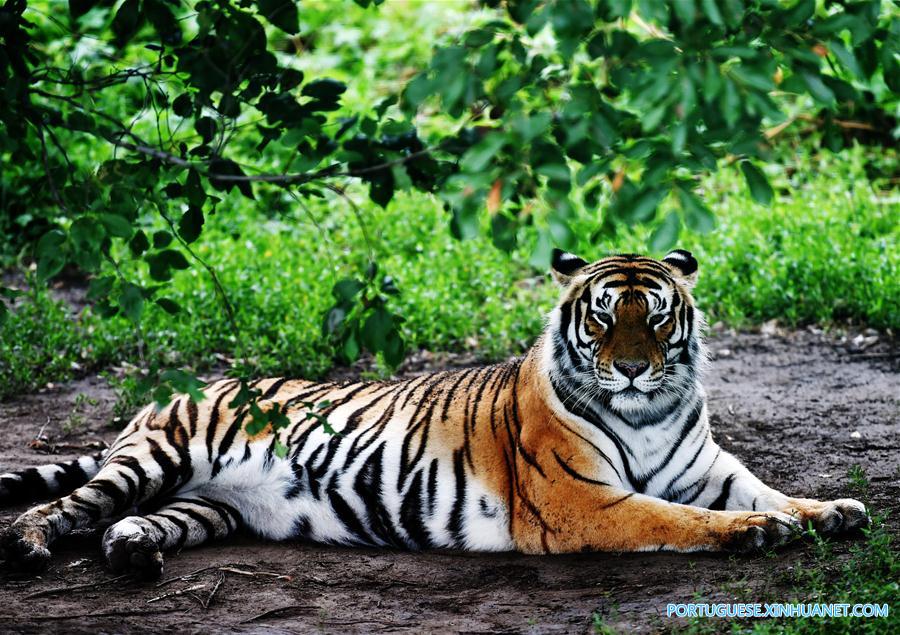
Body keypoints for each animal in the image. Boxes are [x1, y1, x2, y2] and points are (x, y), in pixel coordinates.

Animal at [1, 251, 872, 580]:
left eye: (656, 317)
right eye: (601, 317)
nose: (630, 366)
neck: (650, 410)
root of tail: (169, 388)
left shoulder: (708, 468)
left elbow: (771, 489)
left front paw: (833, 510)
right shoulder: (580, 501)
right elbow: (677, 518)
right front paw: (755, 533)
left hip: (208, 505)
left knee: (130, 522)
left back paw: (134, 553)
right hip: (158, 457)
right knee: (62, 505)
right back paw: (35, 547)